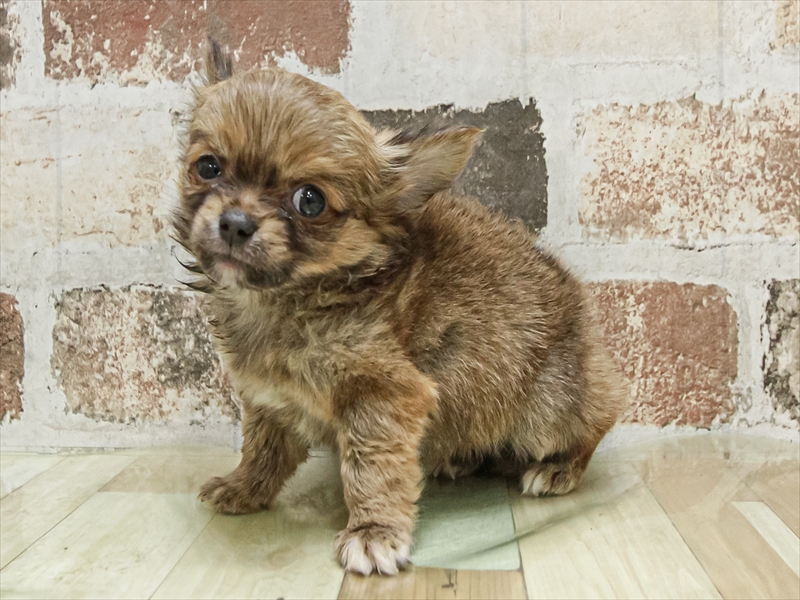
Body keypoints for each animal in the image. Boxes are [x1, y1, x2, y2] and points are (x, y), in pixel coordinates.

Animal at [172, 41, 625, 576]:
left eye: (310, 201)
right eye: (208, 167)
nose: (236, 222)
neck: (289, 299)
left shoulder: (383, 395)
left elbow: (371, 468)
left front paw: (373, 531)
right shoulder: (269, 399)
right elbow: (263, 449)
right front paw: (243, 487)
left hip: (550, 404)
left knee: (593, 426)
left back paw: (556, 469)